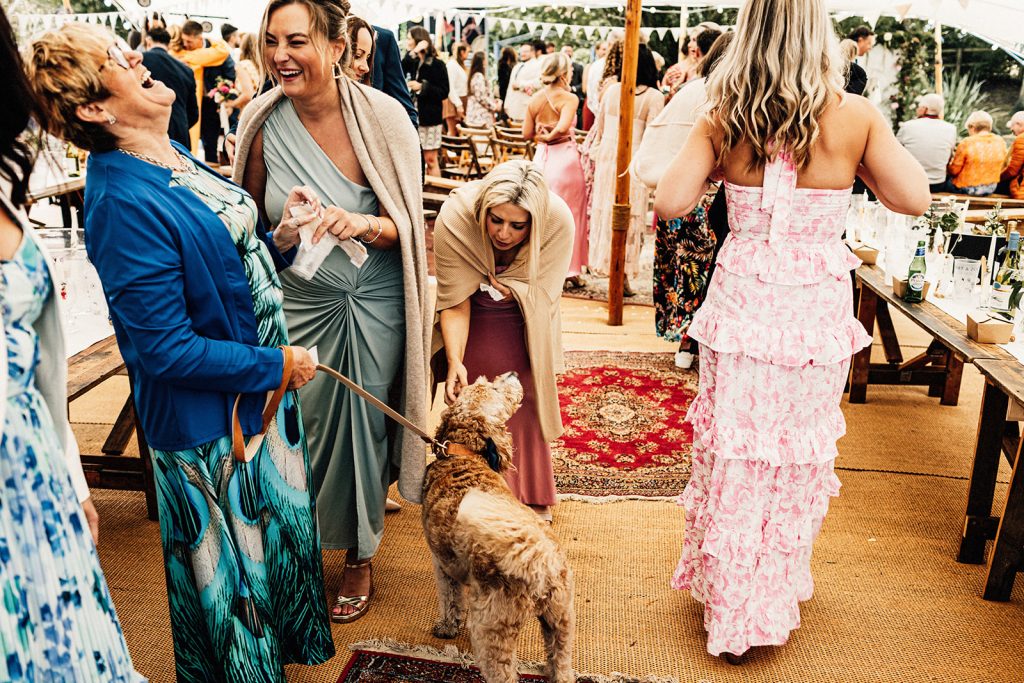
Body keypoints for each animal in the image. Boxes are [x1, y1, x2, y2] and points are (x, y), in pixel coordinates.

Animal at [417, 374, 573, 683]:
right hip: (559, 620)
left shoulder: (442, 565)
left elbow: (450, 601)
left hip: (491, 629)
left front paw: (446, 627)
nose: (511, 374)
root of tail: (539, 561)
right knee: (561, 667)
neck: (462, 456)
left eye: (491, 387)